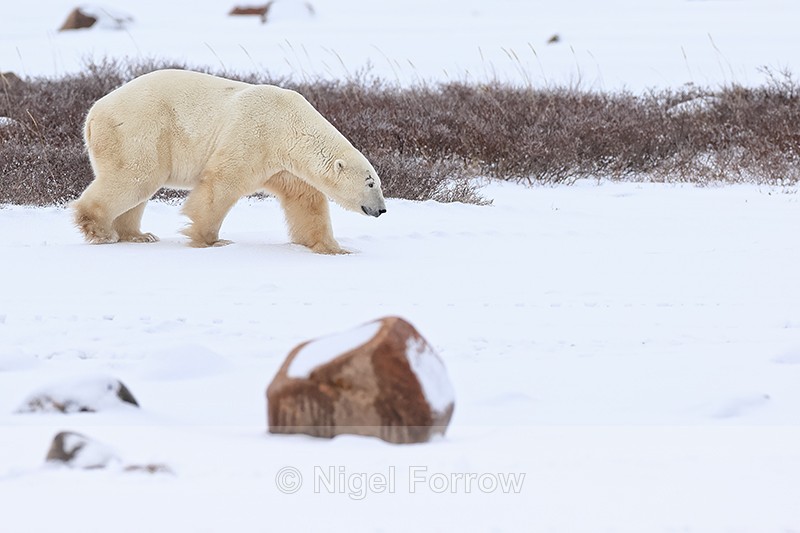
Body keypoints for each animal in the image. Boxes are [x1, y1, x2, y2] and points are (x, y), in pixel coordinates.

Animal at [72, 69, 386, 254]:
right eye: (370, 183)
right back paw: (100, 230)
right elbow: (221, 183)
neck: (288, 122)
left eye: (378, 182)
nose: (382, 210)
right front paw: (210, 240)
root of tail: (92, 114)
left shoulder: (283, 162)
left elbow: (305, 199)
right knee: (135, 177)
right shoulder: (254, 133)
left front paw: (334, 247)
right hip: (139, 129)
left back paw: (139, 235)